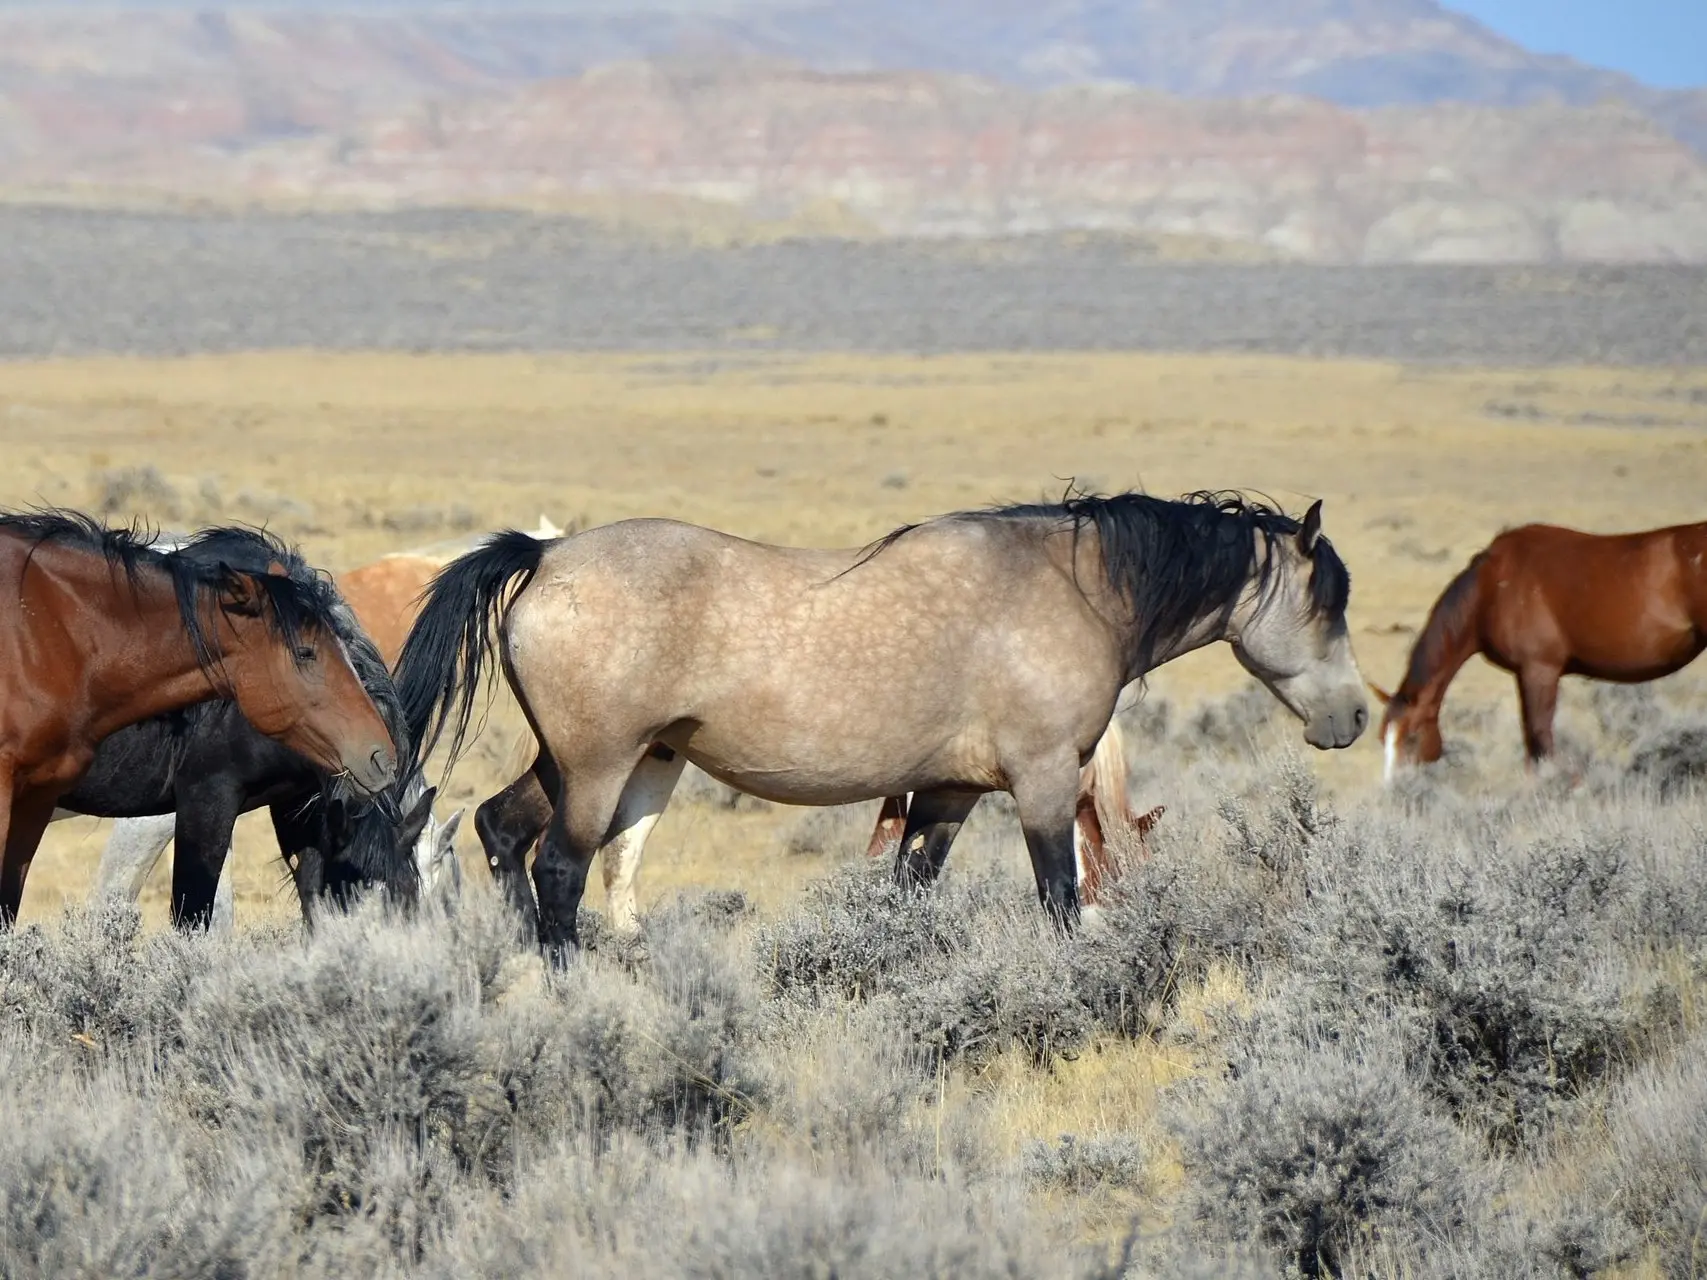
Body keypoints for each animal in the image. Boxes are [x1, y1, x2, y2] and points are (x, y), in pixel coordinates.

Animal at [392, 491, 1365, 962]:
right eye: (1327, 600)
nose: (1353, 716)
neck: (1071, 589)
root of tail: (546, 555)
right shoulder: (1044, 783)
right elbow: (1061, 897)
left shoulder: (948, 795)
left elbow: (909, 895)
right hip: (598, 767)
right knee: (558, 868)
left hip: (577, 762)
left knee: (501, 830)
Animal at [1372, 518, 1707, 781]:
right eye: (1382, 737)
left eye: (1412, 737)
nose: (1395, 790)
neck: (1492, 587)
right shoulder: (1527, 674)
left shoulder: (1539, 671)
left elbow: (1539, 739)